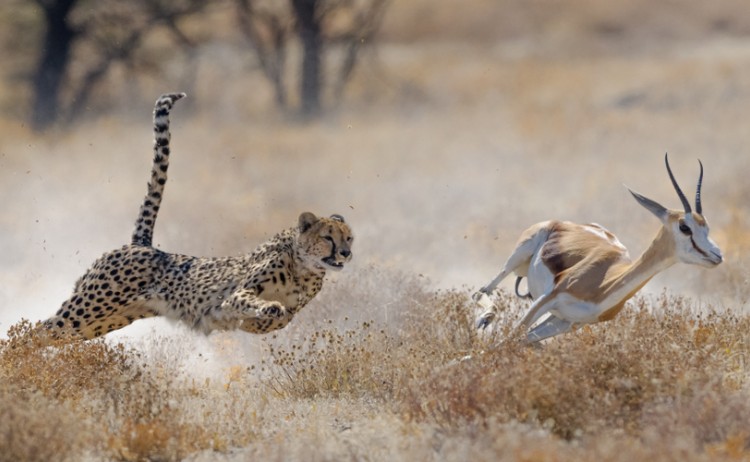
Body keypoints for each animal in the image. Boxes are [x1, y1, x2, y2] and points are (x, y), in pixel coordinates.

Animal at [40, 93, 353, 342]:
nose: (346, 253)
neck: (304, 268)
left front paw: (261, 320)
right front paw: (267, 309)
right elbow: (255, 303)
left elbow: (284, 318)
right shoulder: (236, 294)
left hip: (101, 321)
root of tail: (141, 244)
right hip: (88, 308)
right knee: (34, 331)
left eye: (349, 238)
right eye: (328, 237)